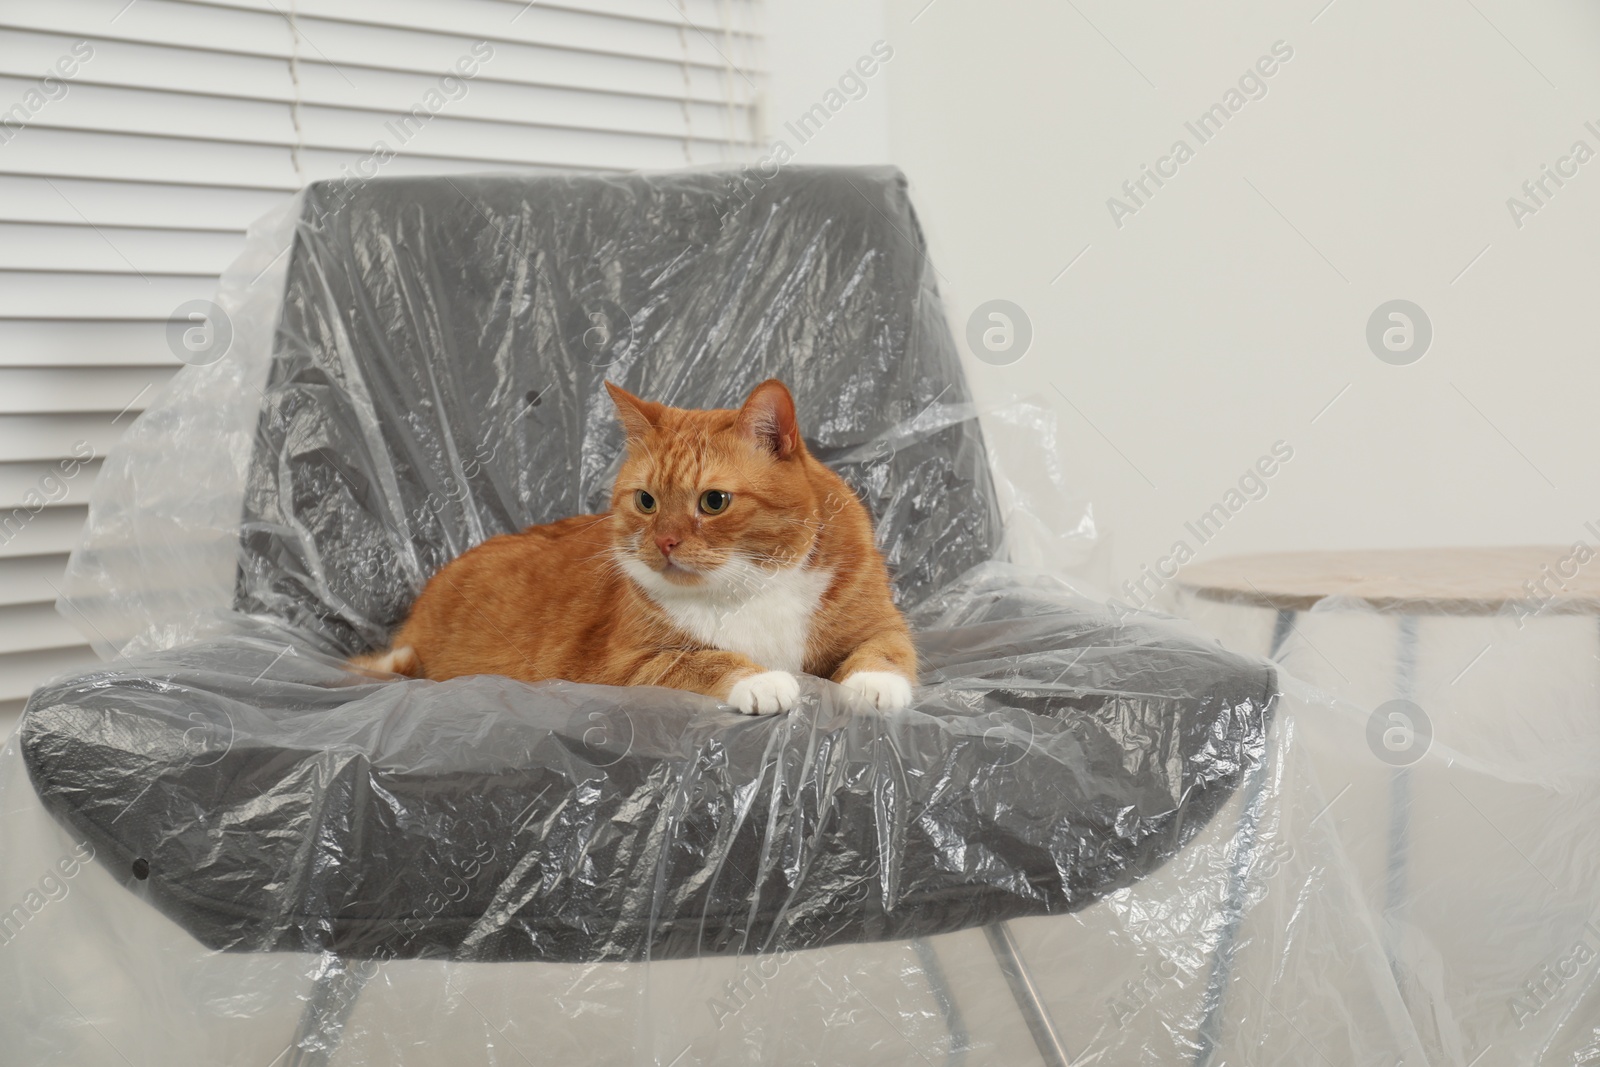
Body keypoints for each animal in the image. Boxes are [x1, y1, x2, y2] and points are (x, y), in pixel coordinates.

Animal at [355, 379, 921, 713]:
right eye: (646, 501)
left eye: (714, 501)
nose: (665, 541)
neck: (749, 585)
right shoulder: (622, 665)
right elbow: (704, 660)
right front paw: (761, 681)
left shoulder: (874, 619)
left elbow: (886, 647)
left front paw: (877, 685)